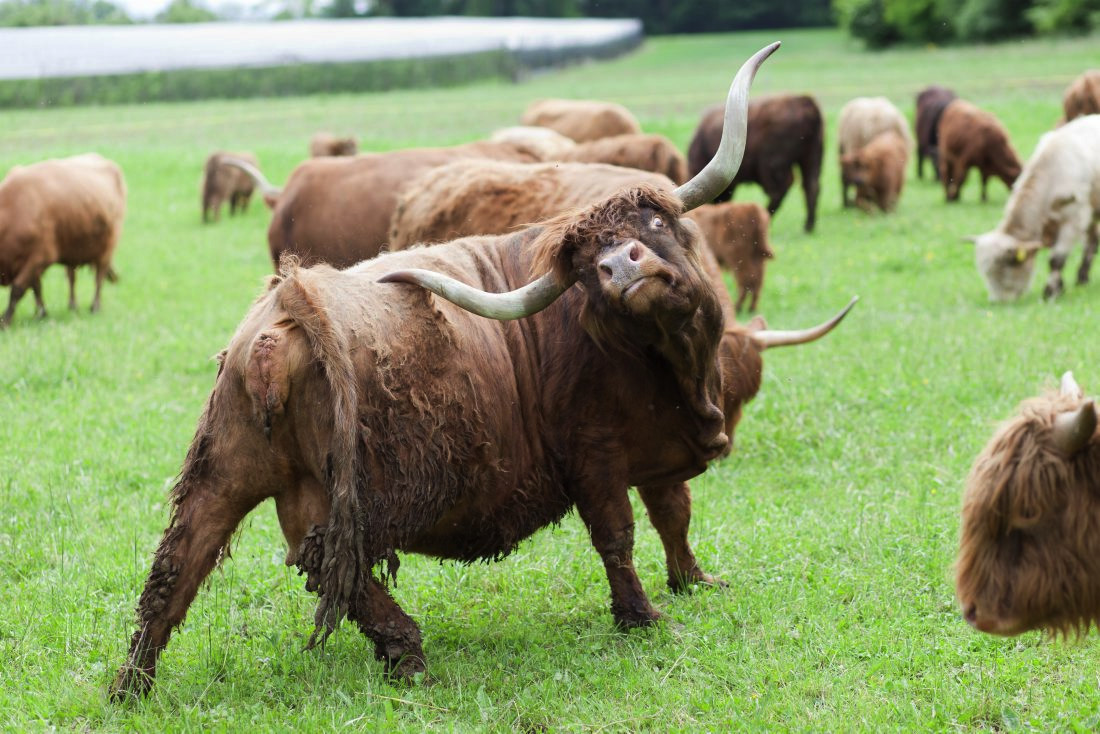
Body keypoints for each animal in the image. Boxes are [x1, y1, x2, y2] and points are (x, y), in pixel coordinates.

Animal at [0, 151, 126, 327]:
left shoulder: (41, 256)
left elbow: (17, 289)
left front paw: (5, 320)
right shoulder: (32, 263)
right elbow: (36, 288)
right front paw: (41, 313)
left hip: (107, 248)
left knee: (99, 278)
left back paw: (95, 306)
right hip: (74, 248)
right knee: (72, 277)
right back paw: (72, 306)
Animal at [682, 93, 822, 232]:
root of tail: (803, 100)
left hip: (773, 166)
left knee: (781, 189)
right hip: (811, 158)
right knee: (811, 186)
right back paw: (808, 227)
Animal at [972, 112, 1100, 301]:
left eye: (1008, 265)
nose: (998, 301)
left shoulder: (1073, 220)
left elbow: (1056, 259)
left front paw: (1050, 292)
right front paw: (1060, 287)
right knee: (1091, 242)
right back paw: (1082, 278)